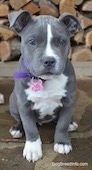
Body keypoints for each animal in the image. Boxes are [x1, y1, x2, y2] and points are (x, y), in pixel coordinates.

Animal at [8, 10, 80, 162]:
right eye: (32, 41)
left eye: (61, 42)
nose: (49, 60)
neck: (45, 80)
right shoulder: (24, 105)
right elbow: (29, 127)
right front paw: (32, 149)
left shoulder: (68, 102)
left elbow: (62, 124)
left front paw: (62, 143)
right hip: (13, 102)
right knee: (19, 119)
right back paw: (17, 128)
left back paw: (71, 124)